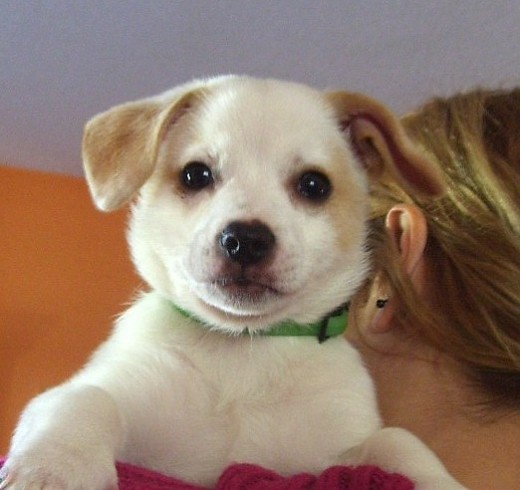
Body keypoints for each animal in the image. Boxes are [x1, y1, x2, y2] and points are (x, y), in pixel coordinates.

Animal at [0, 74, 464, 488]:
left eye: (314, 184)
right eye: (195, 175)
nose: (246, 240)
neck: (244, 353)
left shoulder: (338, 445)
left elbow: (398, 440)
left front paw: (437, 481)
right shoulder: (107, 390)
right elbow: (82, 399)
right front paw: (54, 469)